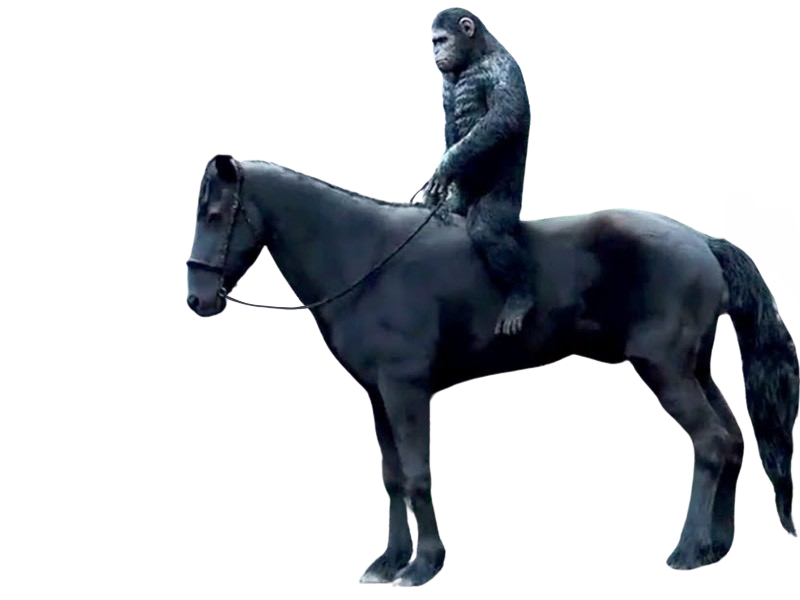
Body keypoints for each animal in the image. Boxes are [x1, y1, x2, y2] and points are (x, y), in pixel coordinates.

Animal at [186, 155, 797, 587]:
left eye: (215, 215)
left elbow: (418, 474)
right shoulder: (376, 396)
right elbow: (390, 478)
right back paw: (717, 546)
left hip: (666, 371)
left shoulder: (406, 392)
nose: (196, 299)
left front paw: (423, 565)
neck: (366, 257)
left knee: (712, 443)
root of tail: (702, 240)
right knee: (733, 440)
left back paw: (689, 550)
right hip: (695, 370)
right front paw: (389, 560)